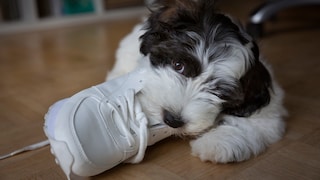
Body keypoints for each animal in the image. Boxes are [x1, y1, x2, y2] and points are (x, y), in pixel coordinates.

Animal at [107, 0, 284, 163]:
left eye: (218, 91)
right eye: (178, 65)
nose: (173, 120)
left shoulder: (267, 112)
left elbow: (255, 124)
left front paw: (216, 143)